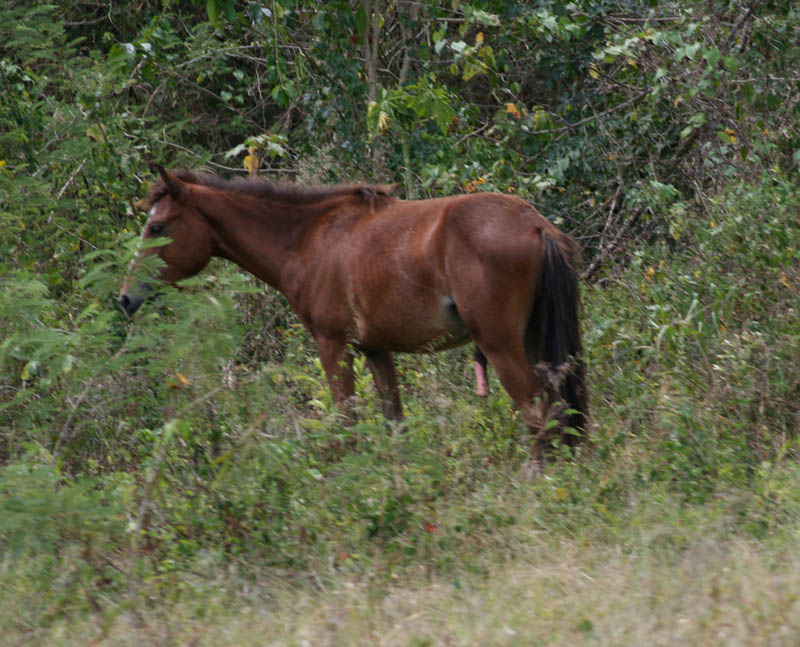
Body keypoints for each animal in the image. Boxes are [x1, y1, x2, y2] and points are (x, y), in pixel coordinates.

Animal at [120, 167, 588, 446]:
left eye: (157, 226)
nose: (125, 298)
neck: (309, 238)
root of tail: (535, 224)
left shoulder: (334, 346)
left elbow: (347, 424)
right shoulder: (376, 351)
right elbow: (394, 423)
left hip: (501, 345)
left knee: (537, 410)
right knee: (558, 404)